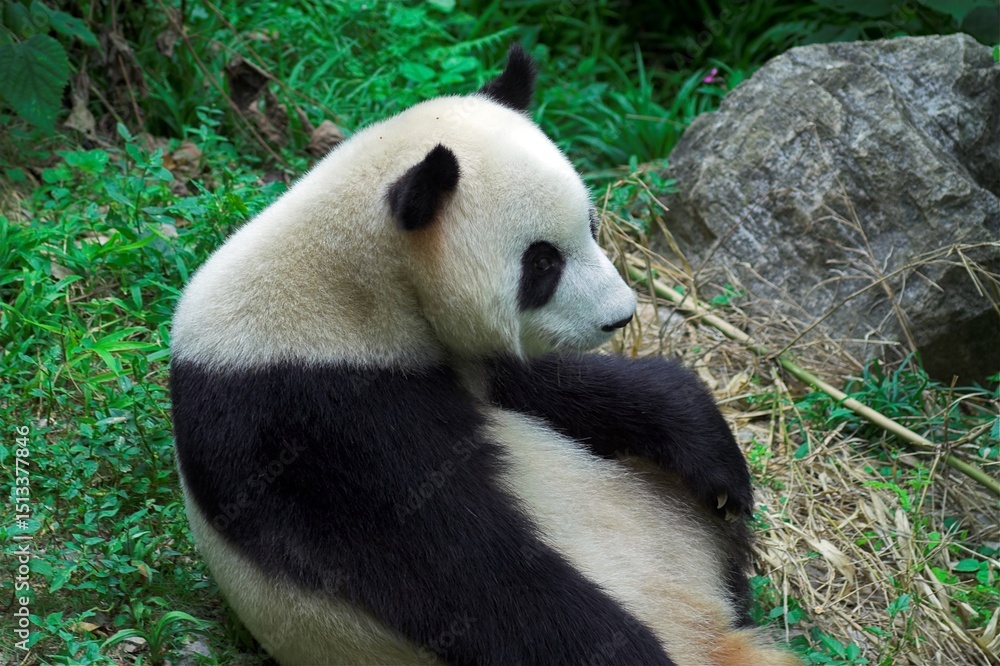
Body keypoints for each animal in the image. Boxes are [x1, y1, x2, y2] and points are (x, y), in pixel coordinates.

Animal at [170, 45, 802, 666]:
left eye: (591, 225)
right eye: (542, 262)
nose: (620, 316)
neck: (347, 283)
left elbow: (558, 385)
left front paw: (717, 465)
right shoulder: (314, 418)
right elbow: (463, 571)